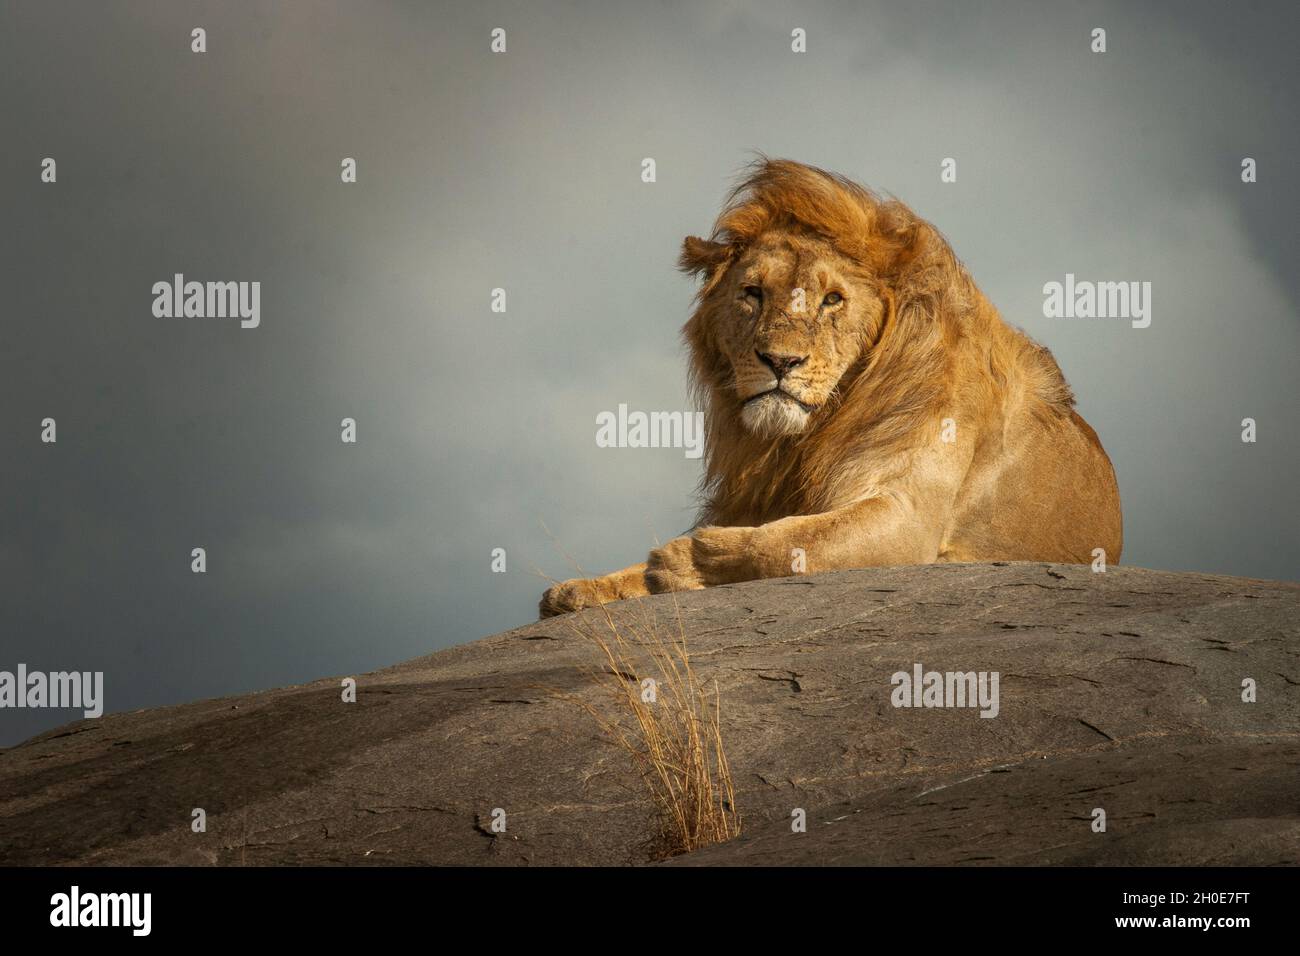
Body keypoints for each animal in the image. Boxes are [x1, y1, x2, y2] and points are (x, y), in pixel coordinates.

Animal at [543, 159, 1123, 616]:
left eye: (832, 300)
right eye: (752, 293)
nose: (780, 361)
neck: (802, 438)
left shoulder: (907, 516)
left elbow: (793, 541)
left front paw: (686, 559)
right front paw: (581, 589)